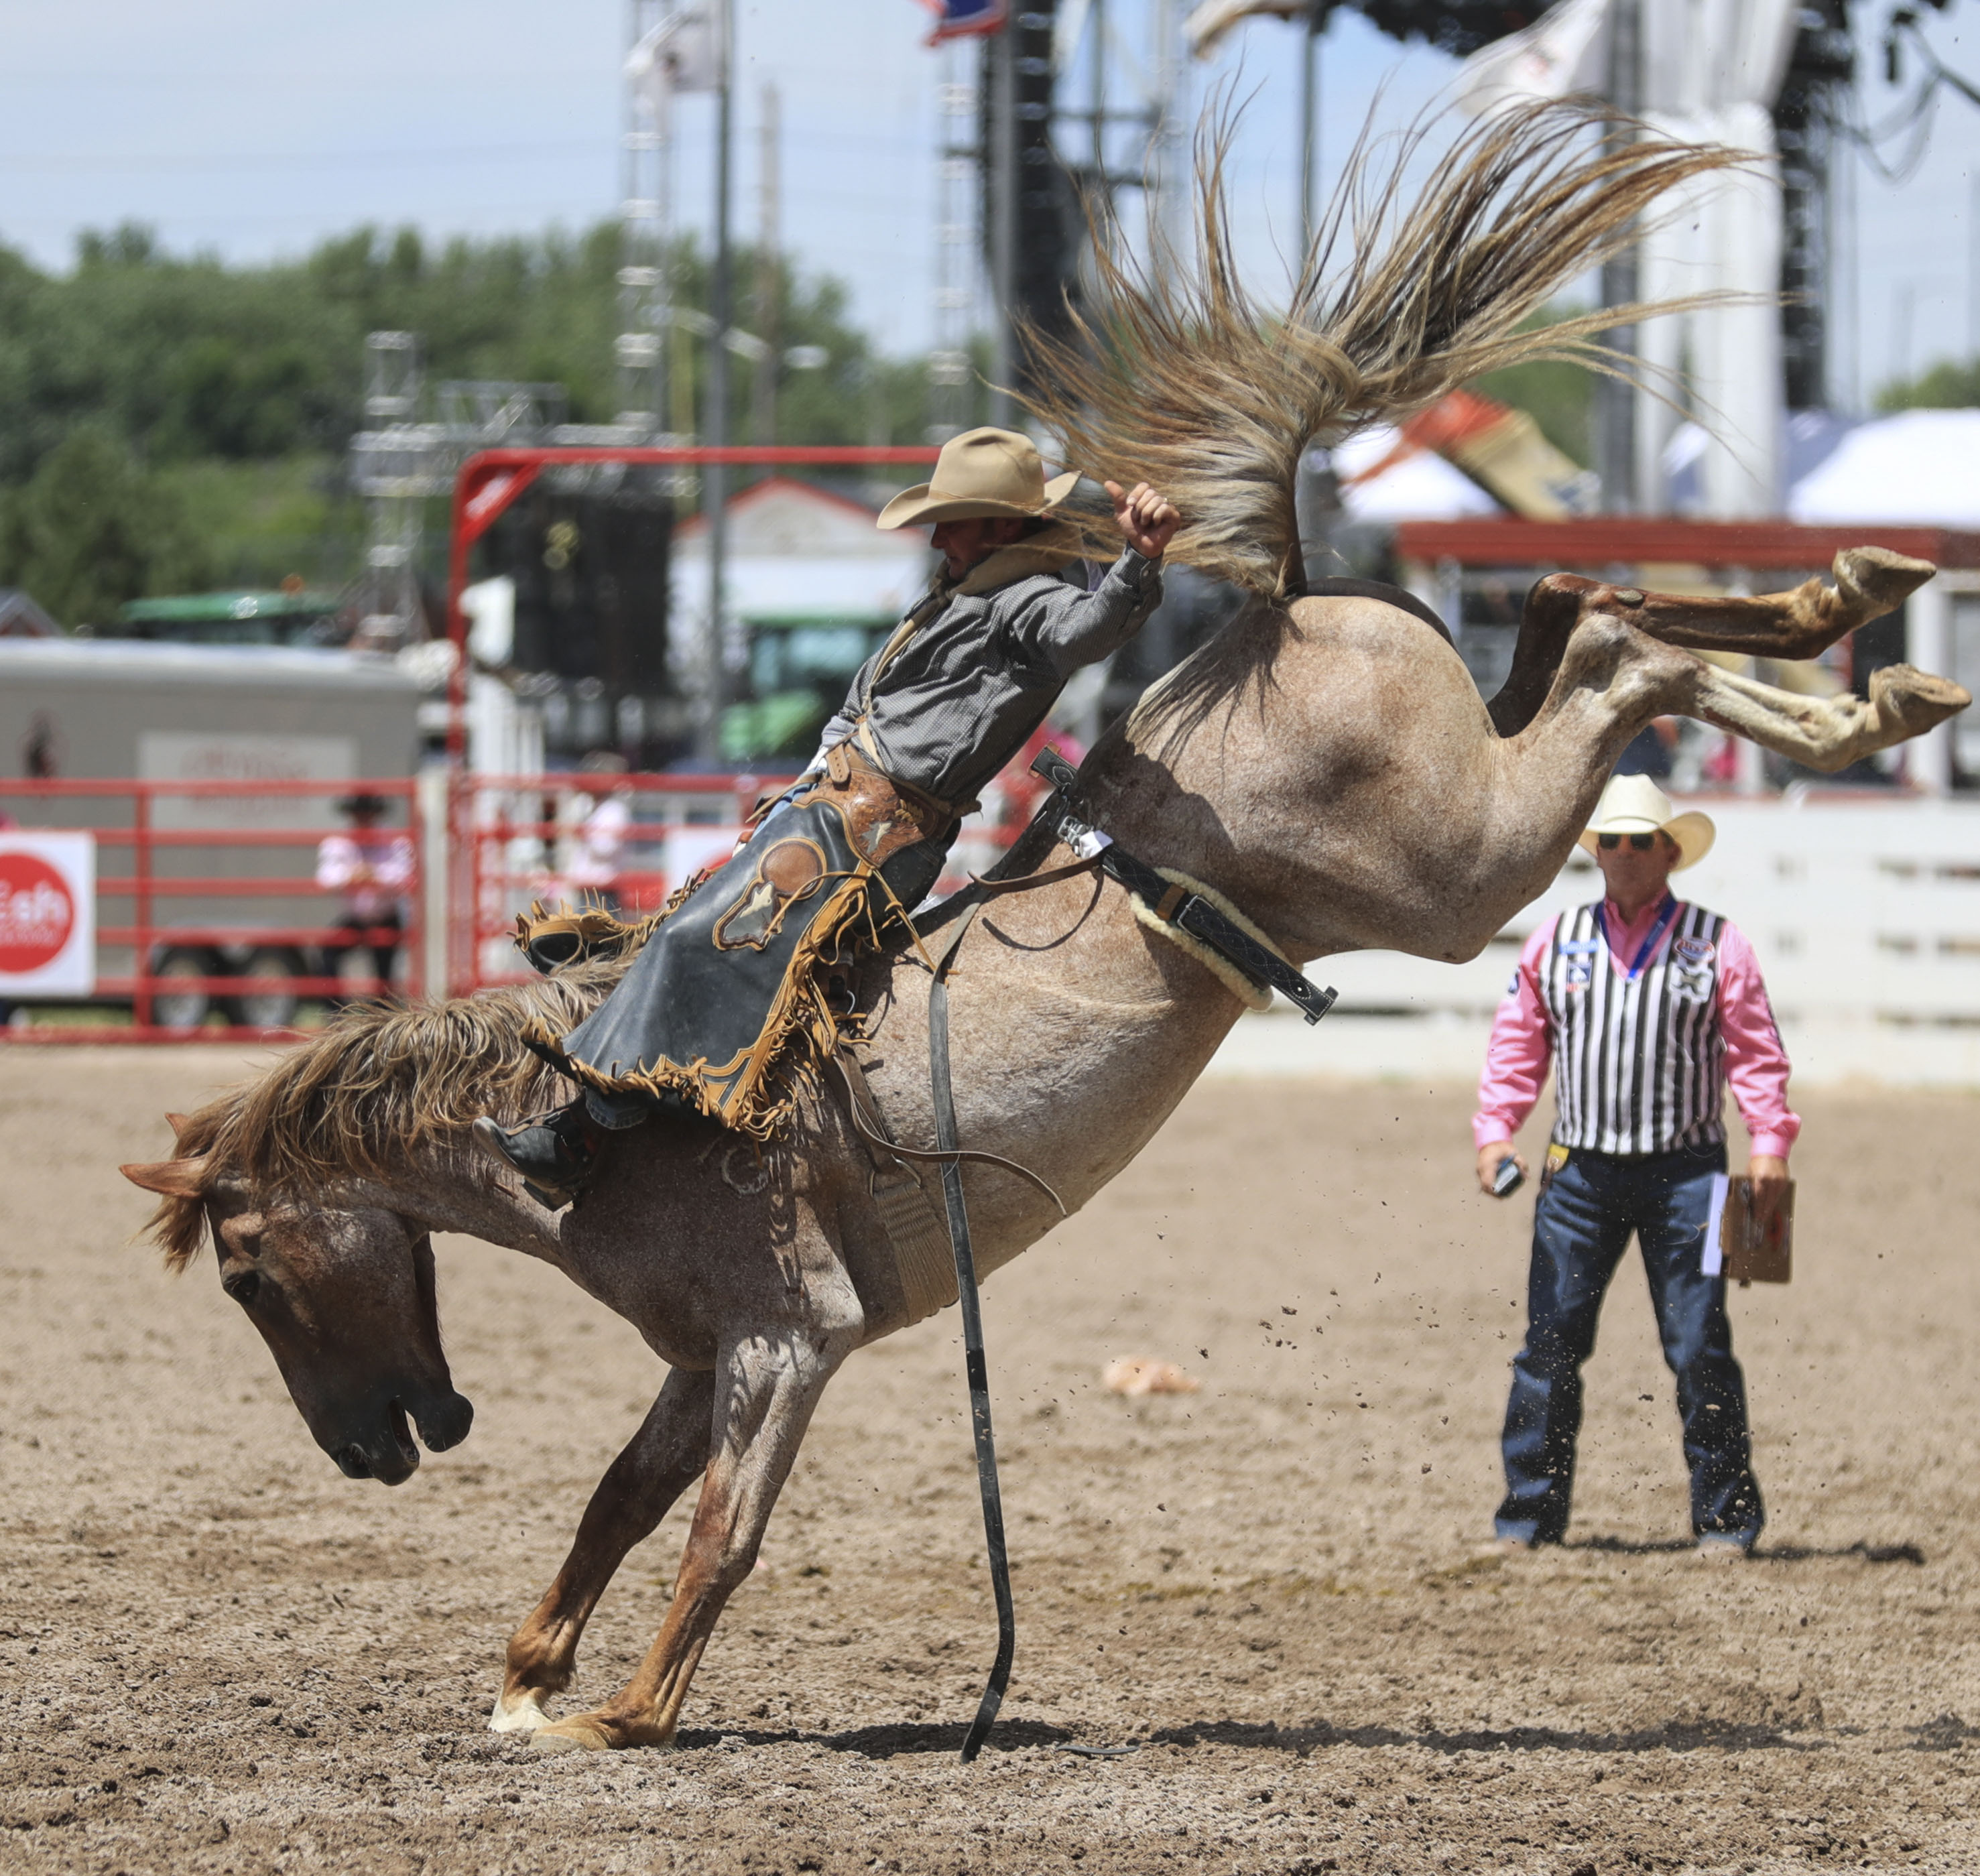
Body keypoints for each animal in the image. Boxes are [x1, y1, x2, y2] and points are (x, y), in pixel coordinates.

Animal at [123, 106, 1964, 1757]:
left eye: (250, 1271)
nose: (377, 1448)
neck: (605, 1130)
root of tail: (1289, 597)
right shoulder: (705, 1350)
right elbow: (617, 1501)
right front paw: (524, 1677)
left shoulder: (790, 1336)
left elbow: (718, 1530)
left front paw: (617, 1715)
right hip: (1468, 834)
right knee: (1590, 623)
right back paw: (1859, 639)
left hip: (1461, 869)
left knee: (1602, 649)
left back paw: (1859, 636)